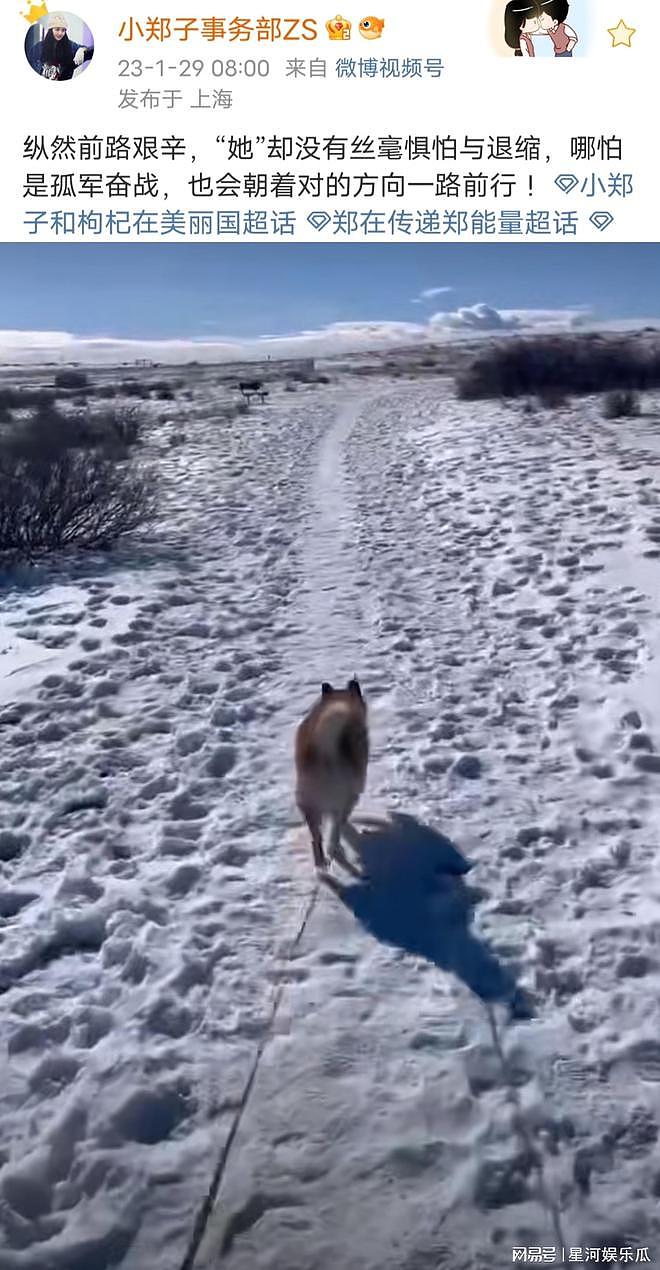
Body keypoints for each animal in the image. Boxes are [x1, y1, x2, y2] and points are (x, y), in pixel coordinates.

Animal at [295, 675, 368, 873]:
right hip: (344, 800)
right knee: (334, 832)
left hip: (309, 805)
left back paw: (321, 865)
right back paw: (334, 851)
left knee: (316, 839)